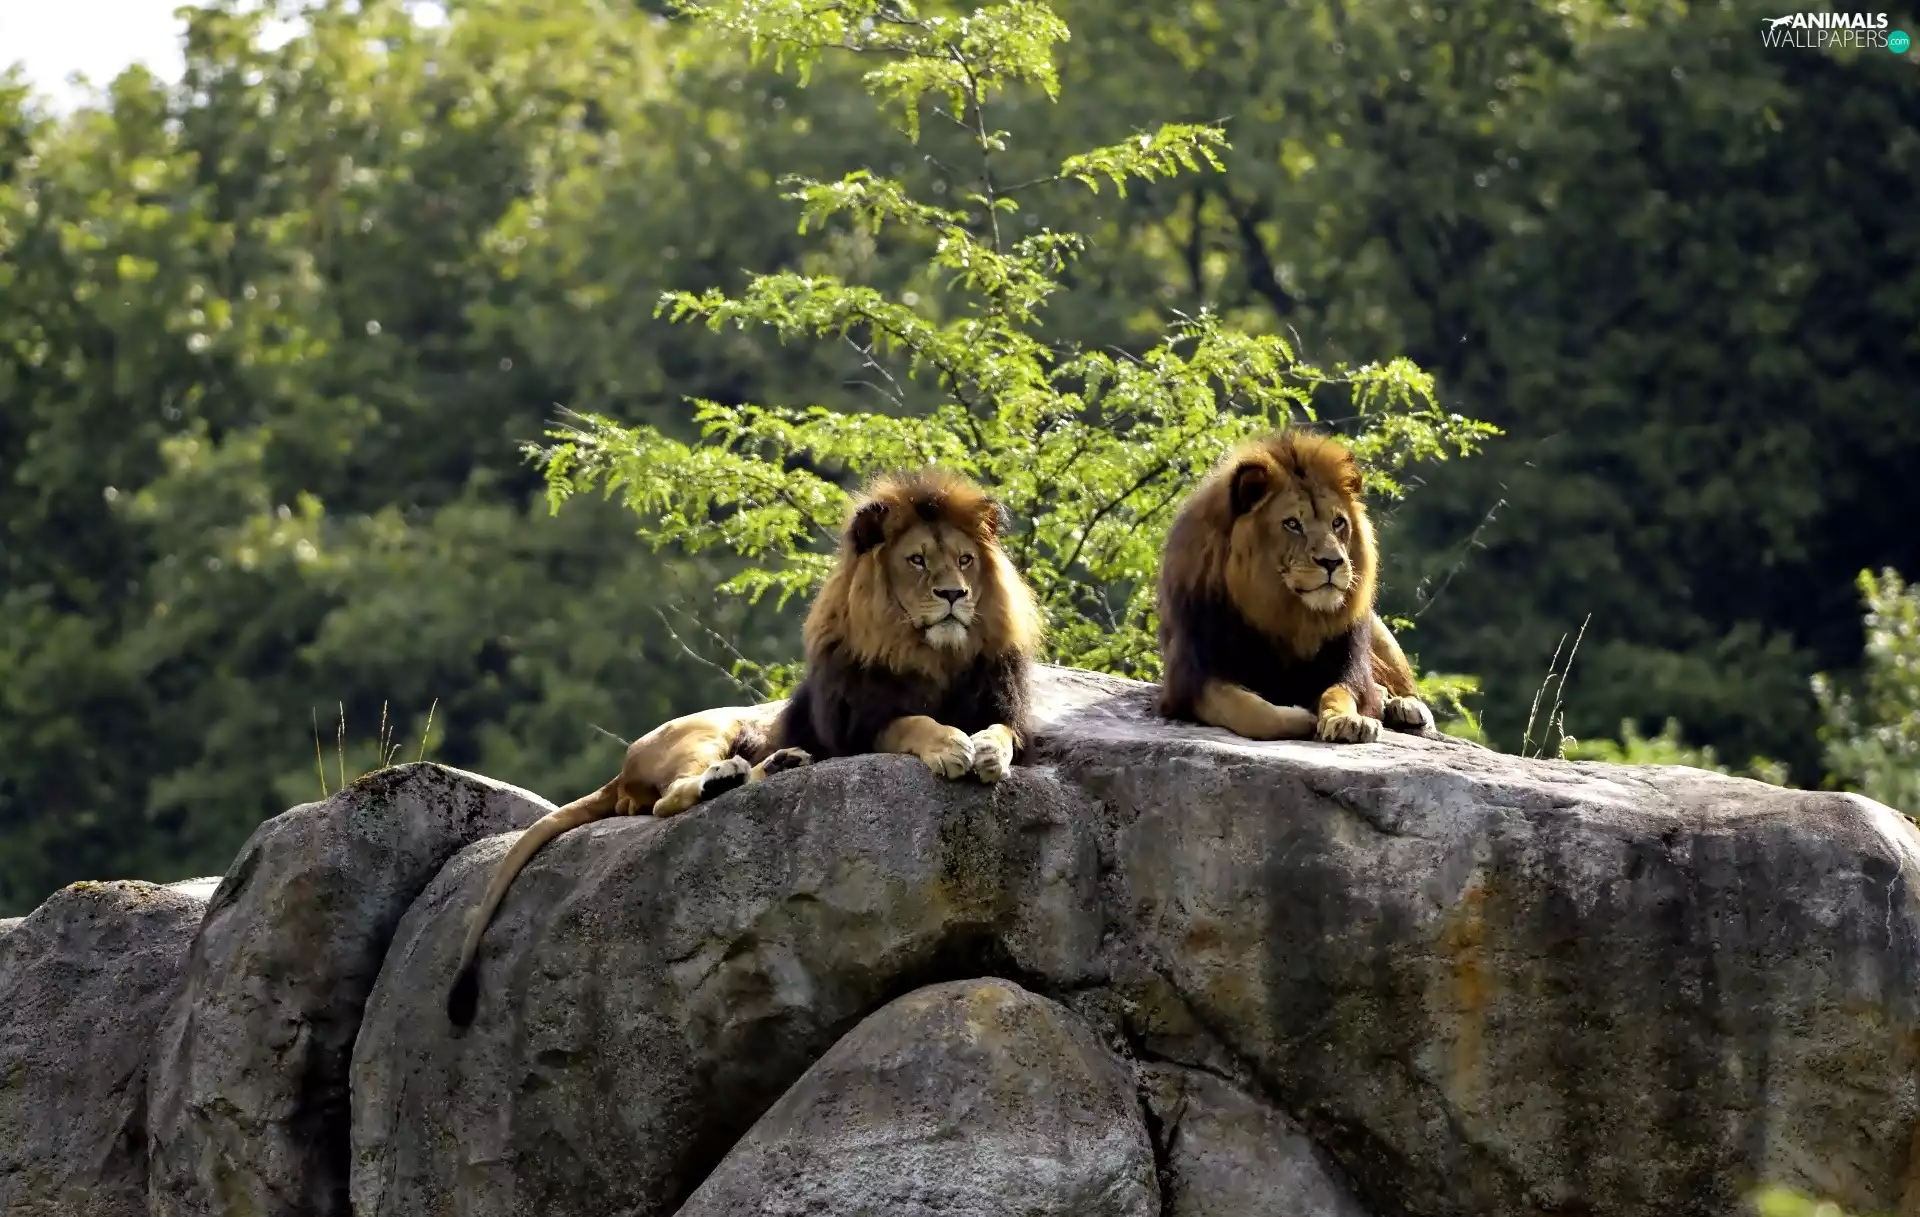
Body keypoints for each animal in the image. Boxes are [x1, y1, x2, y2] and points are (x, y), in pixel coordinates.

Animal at [445, 468, 1043, 1026]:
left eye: (965, 560)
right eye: (917, 561)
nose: (954, 596)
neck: (933, 656)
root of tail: (624, 767)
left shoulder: (1004, 709)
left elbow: (1000, 734)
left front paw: (987, 752)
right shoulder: (856, 727)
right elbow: (914, 722)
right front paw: (950, 746)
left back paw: (778, 764)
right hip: (707, 730)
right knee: (669, 800)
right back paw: (732, 775)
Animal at [1154, 429, 1436, 745]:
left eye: (1338, 523)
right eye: (1292, 524)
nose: (1332, 562)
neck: (1287, 615)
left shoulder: (1345, 667)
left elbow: (1340, 693)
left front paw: (1347, 720)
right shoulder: (1192, 681)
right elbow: (1247, 709)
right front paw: (1302, 717)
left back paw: (1404, 706)